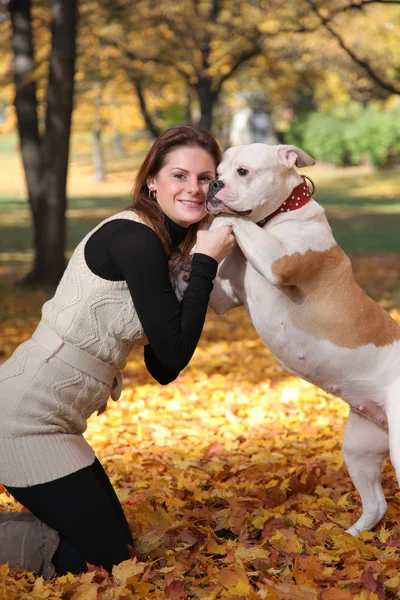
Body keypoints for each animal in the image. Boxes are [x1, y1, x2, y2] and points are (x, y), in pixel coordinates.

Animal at [196, 144, 400, 536]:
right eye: (217, 170)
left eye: (242, 171)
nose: (213, 184)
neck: (279, 216)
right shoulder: (221, 298)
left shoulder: (278, 262)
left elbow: (237, 220)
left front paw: (216, 220)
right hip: (360, 447)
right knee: (376, 504)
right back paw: (347, 538)